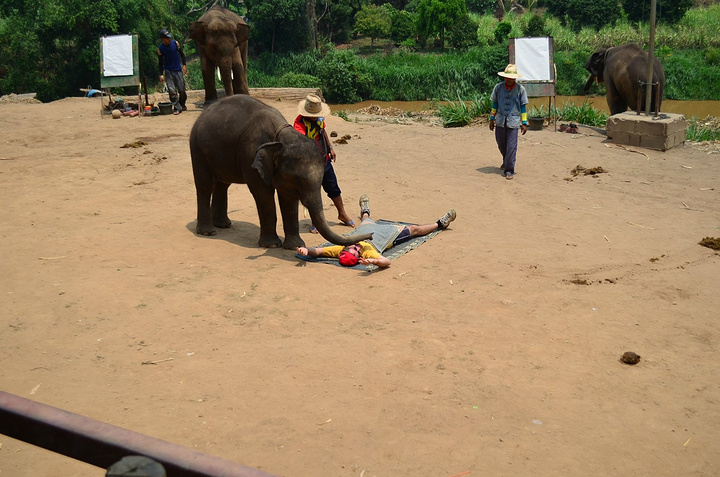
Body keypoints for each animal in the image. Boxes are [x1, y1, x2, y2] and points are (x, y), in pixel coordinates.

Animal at [188, 93, 374, 249]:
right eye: (298, 180)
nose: (371, 235)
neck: (280, 136)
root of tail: (204, 113)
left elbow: (288, 198)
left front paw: (294, 246)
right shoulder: (251, 156)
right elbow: (263, 195)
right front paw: (271, 245)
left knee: (222, 184)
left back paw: (224, 225)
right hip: (197, 147)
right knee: (204, 185)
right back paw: (208, 231)